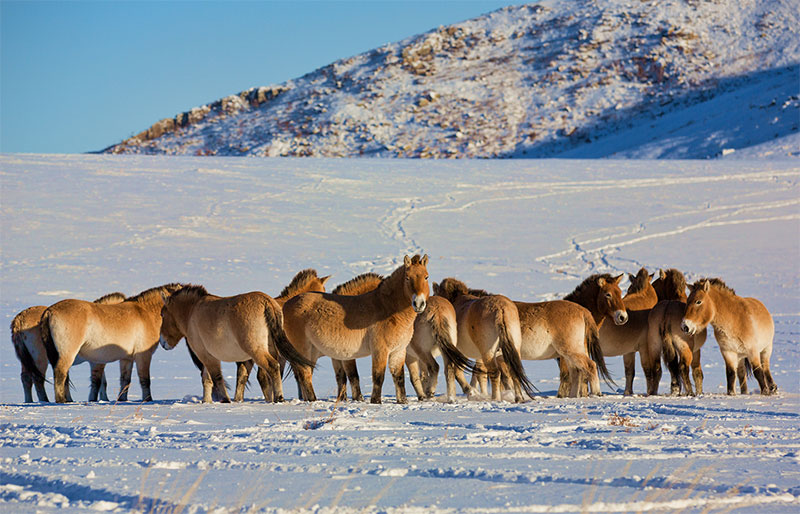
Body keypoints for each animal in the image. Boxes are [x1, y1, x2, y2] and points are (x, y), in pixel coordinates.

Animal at [42, 285, 183, 403]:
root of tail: (50, 311)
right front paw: (148, 399)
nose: (166, 344)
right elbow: (145, 380)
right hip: (67, 355)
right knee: (60, 374)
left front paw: (122, 400)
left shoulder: (126, 359)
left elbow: (125, 380)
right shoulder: (143, 356)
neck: (145, 313)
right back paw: (61, 401)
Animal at [158, 285, 316, 403]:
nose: (162, 342)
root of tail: (267, 302)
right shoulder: (209, 356)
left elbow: (216, 377)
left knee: (272, 367)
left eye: (162, 314)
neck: (192, 311)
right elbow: (208, 379)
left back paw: (279, 398)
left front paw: (225, 400)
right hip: (271, 350)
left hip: (257, 351)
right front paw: (207, 401)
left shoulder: (206, 355)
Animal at [282, 255, 430, 404]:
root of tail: (286, 304)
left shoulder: (398, 351)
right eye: (407, 278)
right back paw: (313, 400)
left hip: (312, 352)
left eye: (426, 277)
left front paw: (402, 401)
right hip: (303, 349)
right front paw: (376, 401)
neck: (387, 308)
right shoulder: (380, 351)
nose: (418, 303)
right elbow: (378, 377)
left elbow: (398, 377)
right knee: (305, 373)